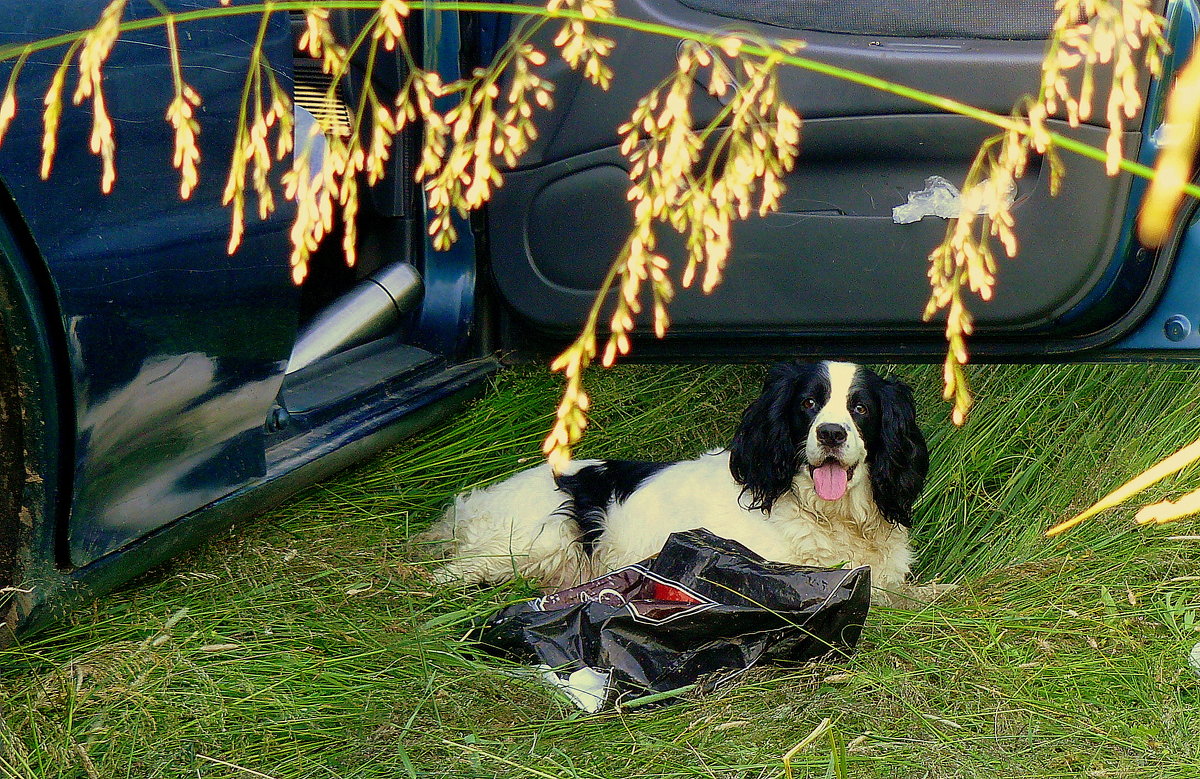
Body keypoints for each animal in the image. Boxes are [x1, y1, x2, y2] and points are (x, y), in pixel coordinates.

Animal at [427, 362, 931, 597]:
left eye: (860, 408)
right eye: (809, 403)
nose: (831, 433)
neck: (829, 515)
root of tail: (471, 505)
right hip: (539, 537)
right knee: (446, 575)